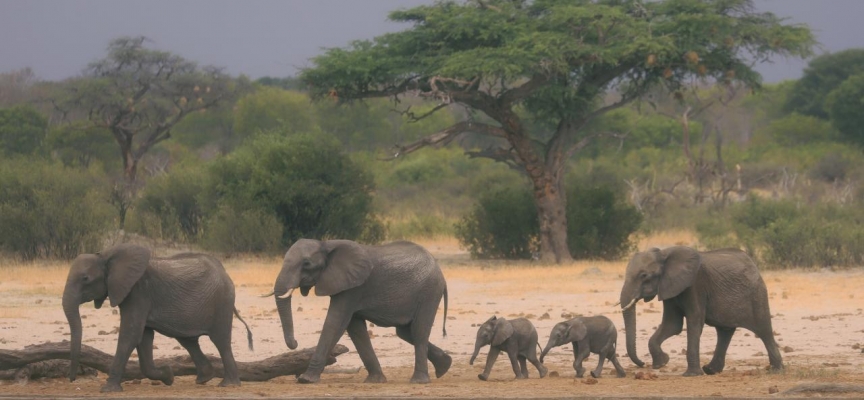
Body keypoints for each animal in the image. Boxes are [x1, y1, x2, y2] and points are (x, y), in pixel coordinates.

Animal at [59, 242, 250, 392]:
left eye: (85, 278)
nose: (72, 379)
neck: (106, 256)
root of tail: (224, 272)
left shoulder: (138, 291)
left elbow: (130, 335)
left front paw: (108, 390)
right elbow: (143, 337)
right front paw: (169, 375)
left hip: (222, 301)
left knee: (220, 341)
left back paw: (229, 385)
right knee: (188, 340)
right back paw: (204, 379)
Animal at [266, 239, 448, 382]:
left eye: (306, 264)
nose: (295, 343)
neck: (326, 244)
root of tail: (439, 270)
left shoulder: (353, 288)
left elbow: (335, 322)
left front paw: (306, 379)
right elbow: (355, 328)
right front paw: (375, 381)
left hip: (429, 292)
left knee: (418, 331)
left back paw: (419, 381)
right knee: (405, 332)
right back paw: (445, 366)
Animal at [620, 245, 784, 376]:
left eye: (644, 276)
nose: (642, 364)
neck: (665, 253)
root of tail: (753, 264)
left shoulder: (695, 284)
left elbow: (694, 321)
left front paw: (691, 375)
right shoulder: (670, 287)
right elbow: (672, 325)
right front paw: (662, 363)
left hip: (756, 294)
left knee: (763, 330)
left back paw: (776, 370)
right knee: (724, 332)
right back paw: (710, 370)